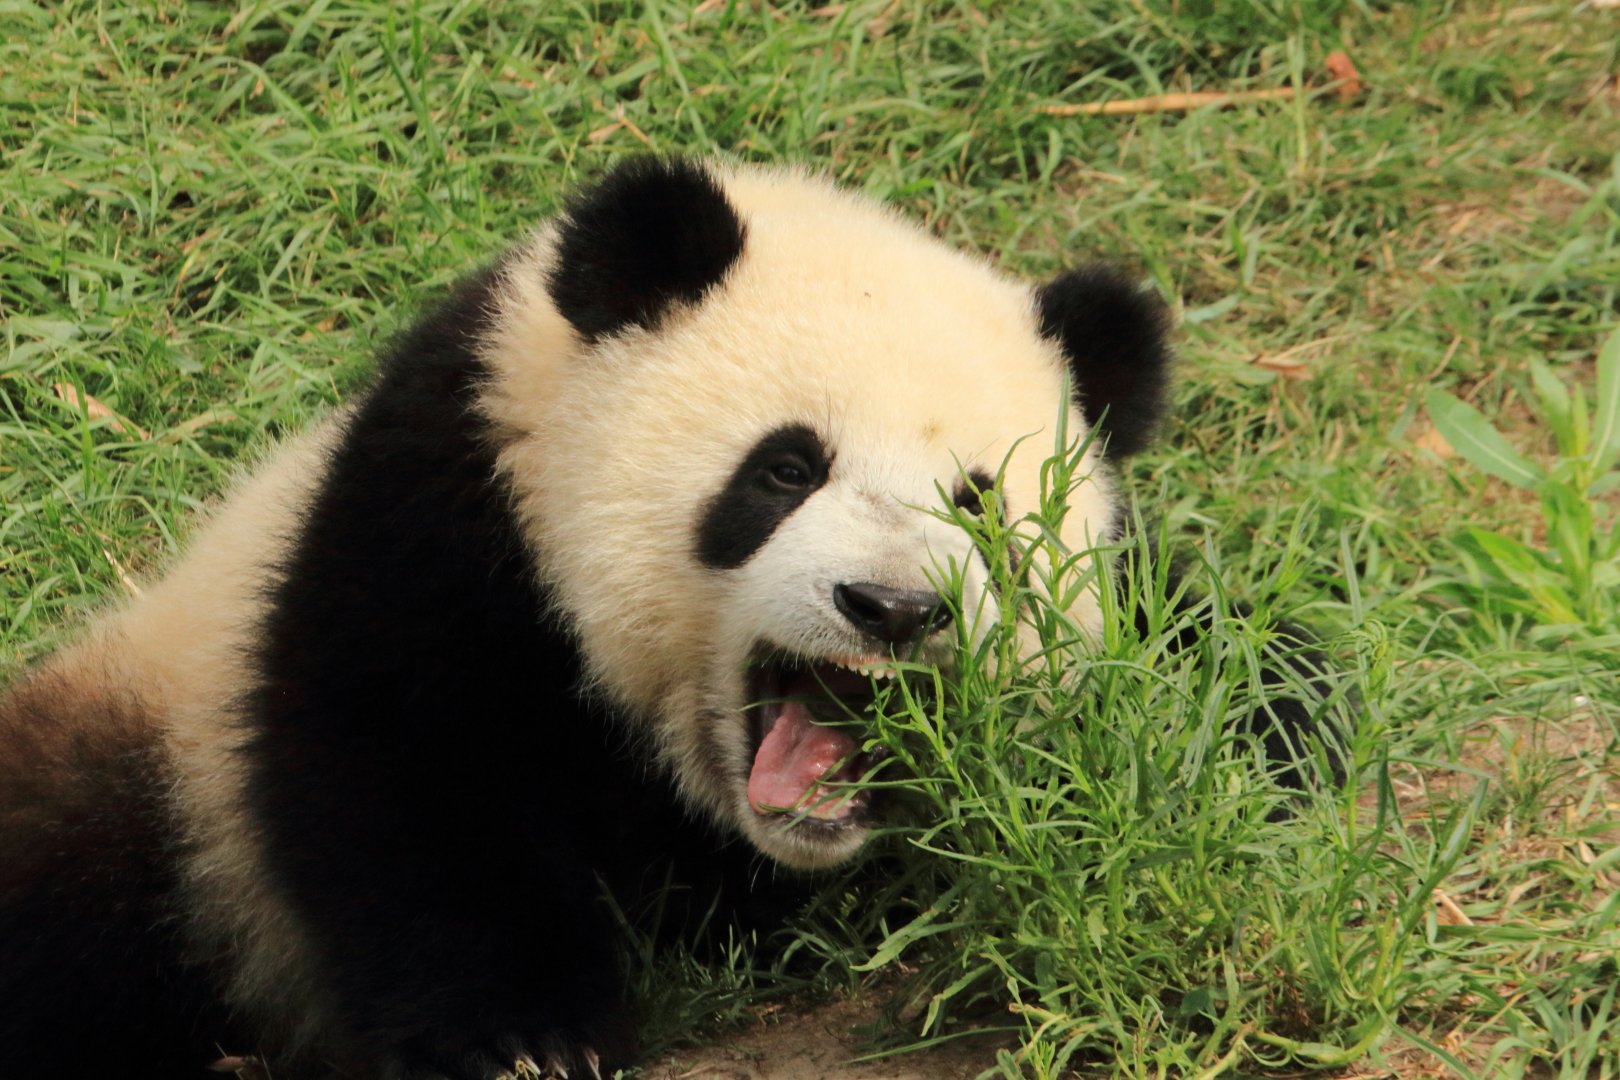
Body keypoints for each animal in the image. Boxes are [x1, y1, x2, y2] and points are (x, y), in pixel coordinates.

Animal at [0, 158, 1314, 1079]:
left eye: (982, 504)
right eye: (784, 470)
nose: (892, 608)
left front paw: (1256, 750)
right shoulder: (447, 518)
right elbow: (397, 766)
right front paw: (525, 1038)